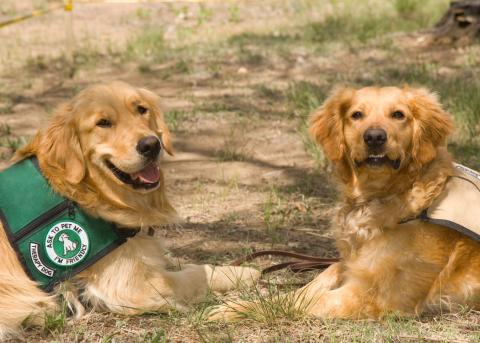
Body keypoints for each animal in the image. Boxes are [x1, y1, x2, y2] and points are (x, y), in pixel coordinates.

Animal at [0, 82, 258, 340]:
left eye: (141, 109)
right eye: (103, 122)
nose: (151, 145)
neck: (81, 193)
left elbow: (177, 261)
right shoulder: (131, 286)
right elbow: (195, 275)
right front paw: (244, 274)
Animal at [210, 86, 480, 322]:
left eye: (398, 114)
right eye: (356, 115)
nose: (374, 137)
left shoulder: (375, 295)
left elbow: (302, 300)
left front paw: (239, 309)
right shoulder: (352, 265)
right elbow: (317, 280)